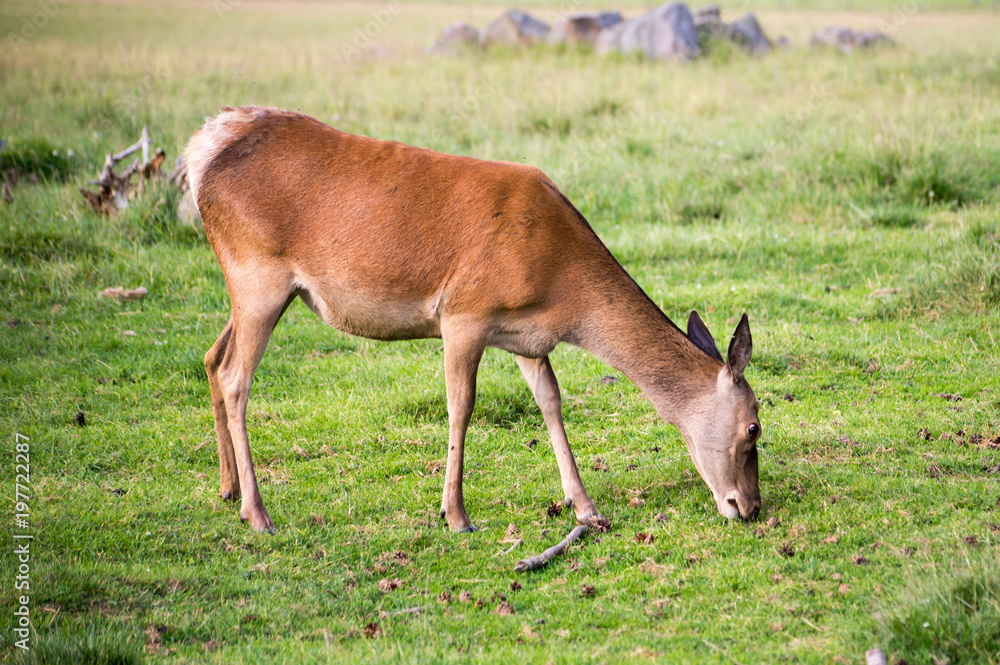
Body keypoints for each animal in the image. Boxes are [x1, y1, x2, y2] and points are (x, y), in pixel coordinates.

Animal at [184, 105, 762, 535]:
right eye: (755, 425)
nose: (750, 507)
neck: (562, 288)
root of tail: (198, 152)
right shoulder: (463, 313)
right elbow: (461, 406)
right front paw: (455, 514)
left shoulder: (527, 338)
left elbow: (551, 403)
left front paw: (586, 508)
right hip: (257, 274)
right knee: (235, 378)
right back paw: (257, 513)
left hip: (257, 290)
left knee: (212, 357)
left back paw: (227, 488)